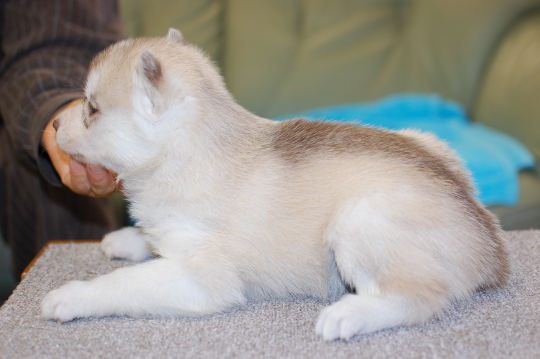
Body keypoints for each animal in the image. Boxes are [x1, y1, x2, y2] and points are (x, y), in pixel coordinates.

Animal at [41, 28, 506, 340]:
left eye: (92, 109)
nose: (54, 127)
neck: (186, 152)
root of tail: (490, 246)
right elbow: (150, 239)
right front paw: (127, 238)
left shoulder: (204, 279)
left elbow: (124, 283)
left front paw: (72, 296)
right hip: (425, 144)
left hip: (360, 216)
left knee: (421, 297)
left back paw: (349, 314)